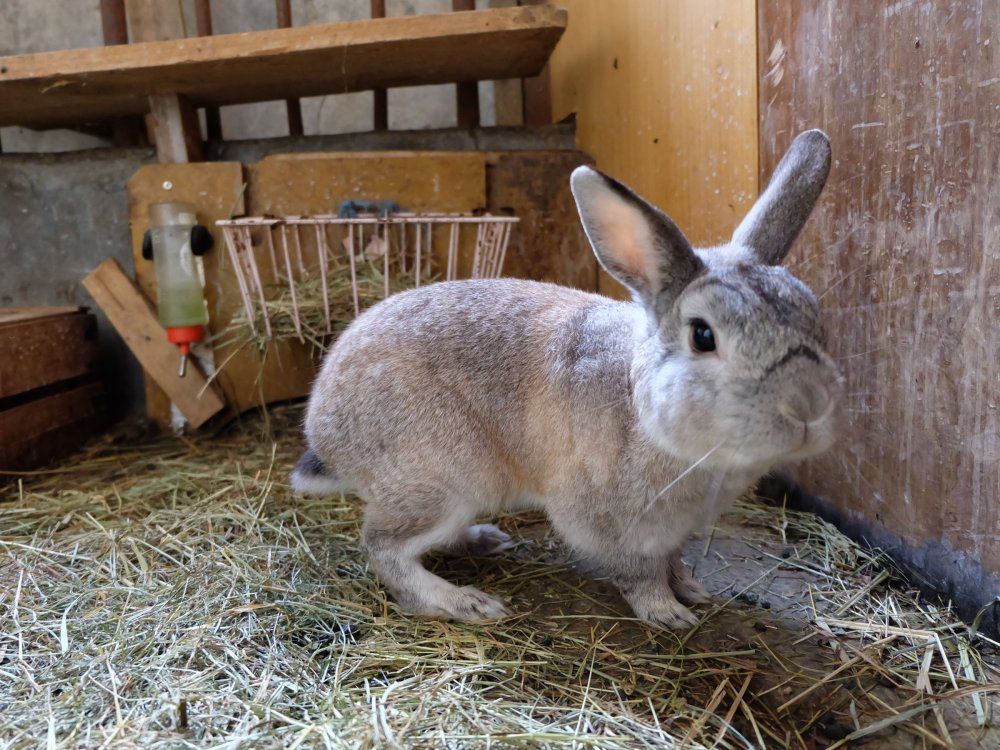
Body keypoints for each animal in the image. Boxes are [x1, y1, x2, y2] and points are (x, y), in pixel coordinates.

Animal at [292, 130, 841, 629]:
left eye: (812, 313)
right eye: (703, 336)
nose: (810, 407)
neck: (638, 404)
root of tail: (322, 425)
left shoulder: (673, 533)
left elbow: (674, 561)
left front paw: (692, 589)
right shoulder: (622, 528)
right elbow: (640, 576)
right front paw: (669, 615)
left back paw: (486, 540)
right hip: (442, 481)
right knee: (384, 548)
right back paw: (467, 603)